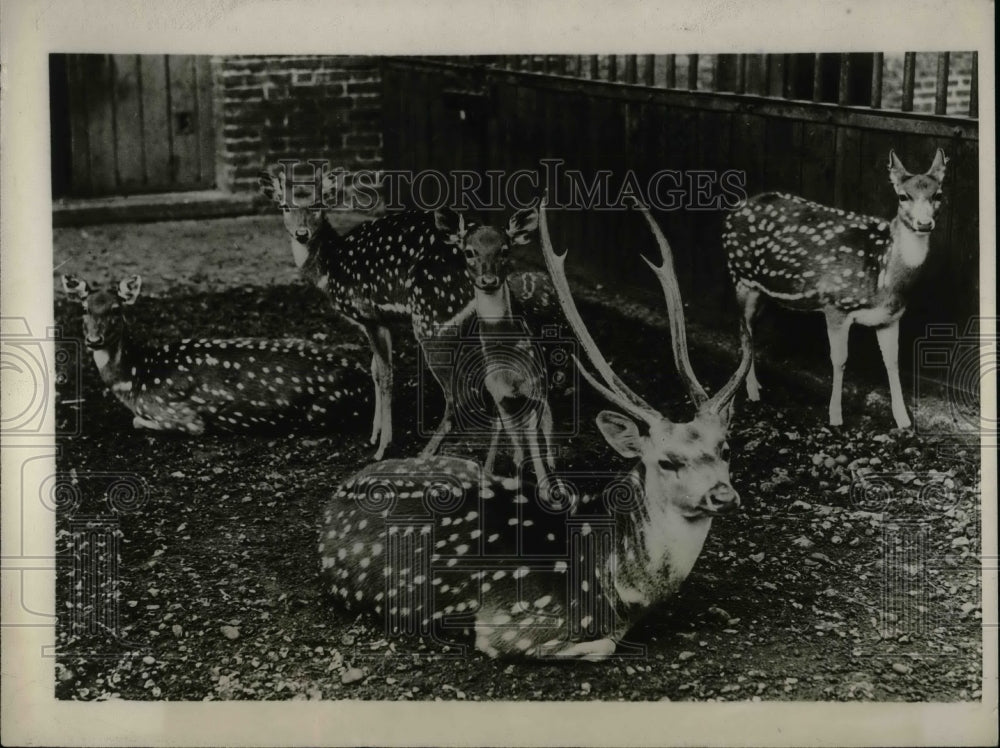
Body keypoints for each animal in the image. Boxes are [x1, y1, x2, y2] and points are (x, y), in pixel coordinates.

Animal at [60, 274, 372, 432]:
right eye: (85, 308)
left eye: (116, 309)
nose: (94, 339)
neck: (137, 377)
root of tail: (366, 377)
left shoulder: (179, 413)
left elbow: (139, 421)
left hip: (322, 407)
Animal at [258, 166, 556, 458]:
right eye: (284, 206)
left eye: (318, 204)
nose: (302, 233)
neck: (330, 267)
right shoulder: (382, 320)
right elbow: (375, 370)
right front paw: (373, 434)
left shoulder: (368, 314)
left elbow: (387, 375)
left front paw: (382, 447)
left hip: (432, 316)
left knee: (458, 394)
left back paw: (426, 452)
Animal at [316, 199, 748, 660]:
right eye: (666, 461)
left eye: (725, 448)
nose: (723, 494)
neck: (625, 589)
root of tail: (344, 486)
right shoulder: (508, 623)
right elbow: (603, 645)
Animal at [724, 149, 948, 426]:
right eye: (903, 196)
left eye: (938, 194)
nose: (924, 223)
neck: (883, 274)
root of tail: (732, 213)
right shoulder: (835, 304)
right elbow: (840, 360)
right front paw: (835, 416)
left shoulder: (890, 317)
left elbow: (892, 361)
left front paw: (903, 420)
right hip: (740, 276)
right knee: (743, 330)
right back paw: (752, 391)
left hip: (762, 291)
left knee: (752, 330)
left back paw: (756, 386)